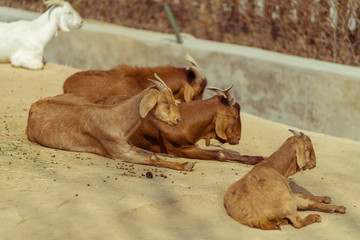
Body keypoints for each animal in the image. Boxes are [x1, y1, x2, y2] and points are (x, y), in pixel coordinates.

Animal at [26, 74, 195, 171]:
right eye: (165, 101)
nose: (178, 120)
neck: (117, 120)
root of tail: (34, 105)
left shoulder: (128, 146)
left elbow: (148, 152)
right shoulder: (120, 153)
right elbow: (152, 158)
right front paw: (187, 165)